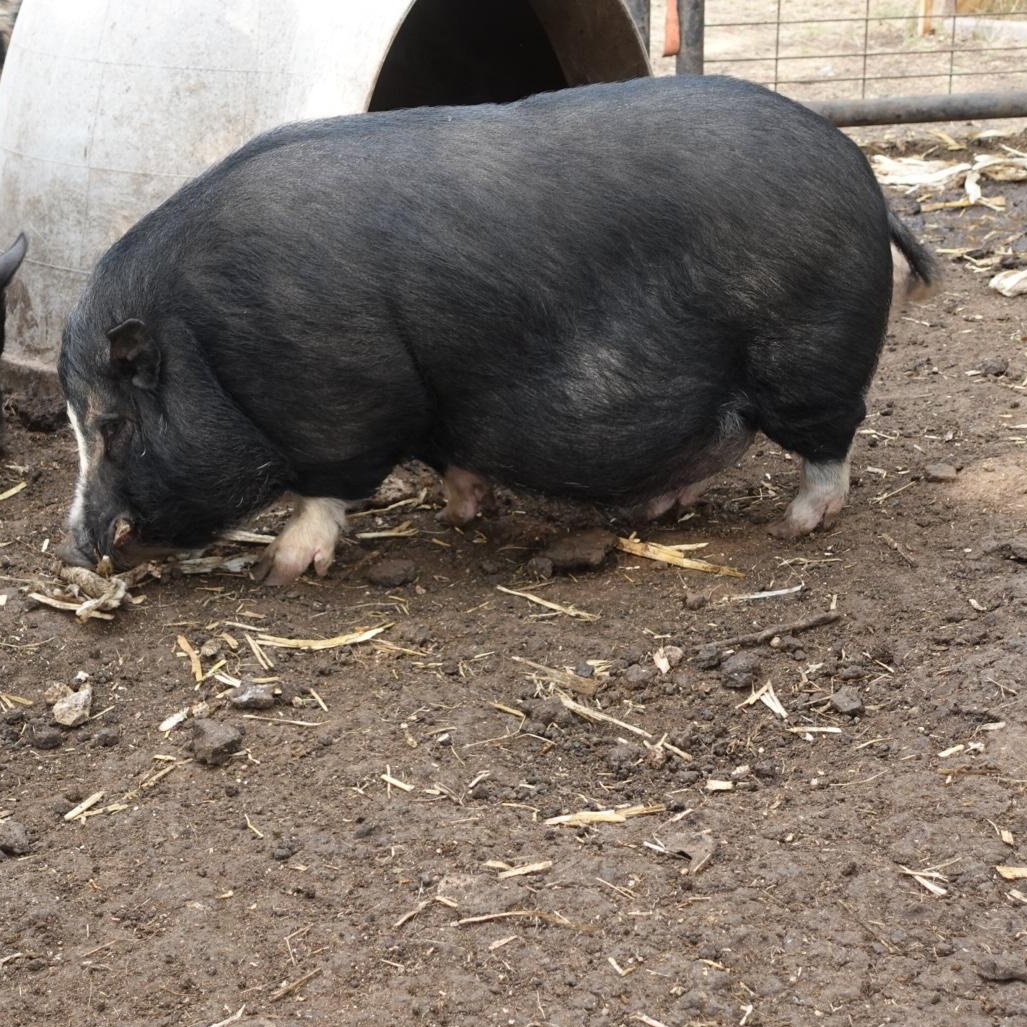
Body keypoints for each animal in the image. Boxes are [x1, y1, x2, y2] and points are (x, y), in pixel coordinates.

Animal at [57, 74, 934, 585]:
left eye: (110, 425)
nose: (77, 544)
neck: (209, 341)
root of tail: (867, 185)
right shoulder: (430, 407)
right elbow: (449, 458)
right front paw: (461, 514)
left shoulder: (341, 399)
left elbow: (325, 487)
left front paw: (283, 567)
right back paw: (656, 511)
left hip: (808, 356)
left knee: (829, 443)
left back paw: (794, 524)